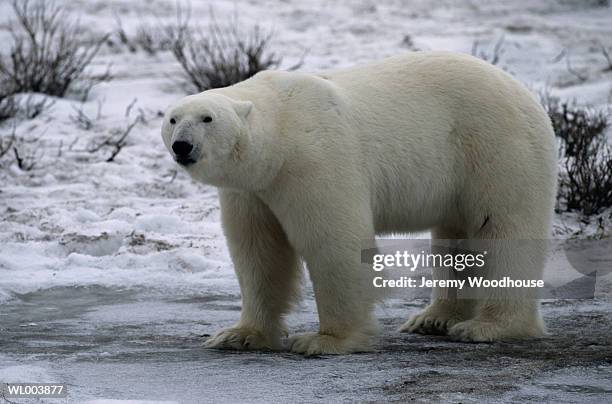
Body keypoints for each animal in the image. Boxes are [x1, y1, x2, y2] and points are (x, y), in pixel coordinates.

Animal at [160, 52, 556, 356]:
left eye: (208, 118)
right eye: (173, 118)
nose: (182, 145)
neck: (282, 132)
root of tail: (525, 93)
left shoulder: (315, 161)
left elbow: (334, 244)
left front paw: (324, 340)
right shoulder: (253, 190)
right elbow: (258, 252)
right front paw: (238, 335)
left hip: (495, 148)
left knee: (502, 229)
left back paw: (488, 326)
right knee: (455, 237)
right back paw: (433, 318)